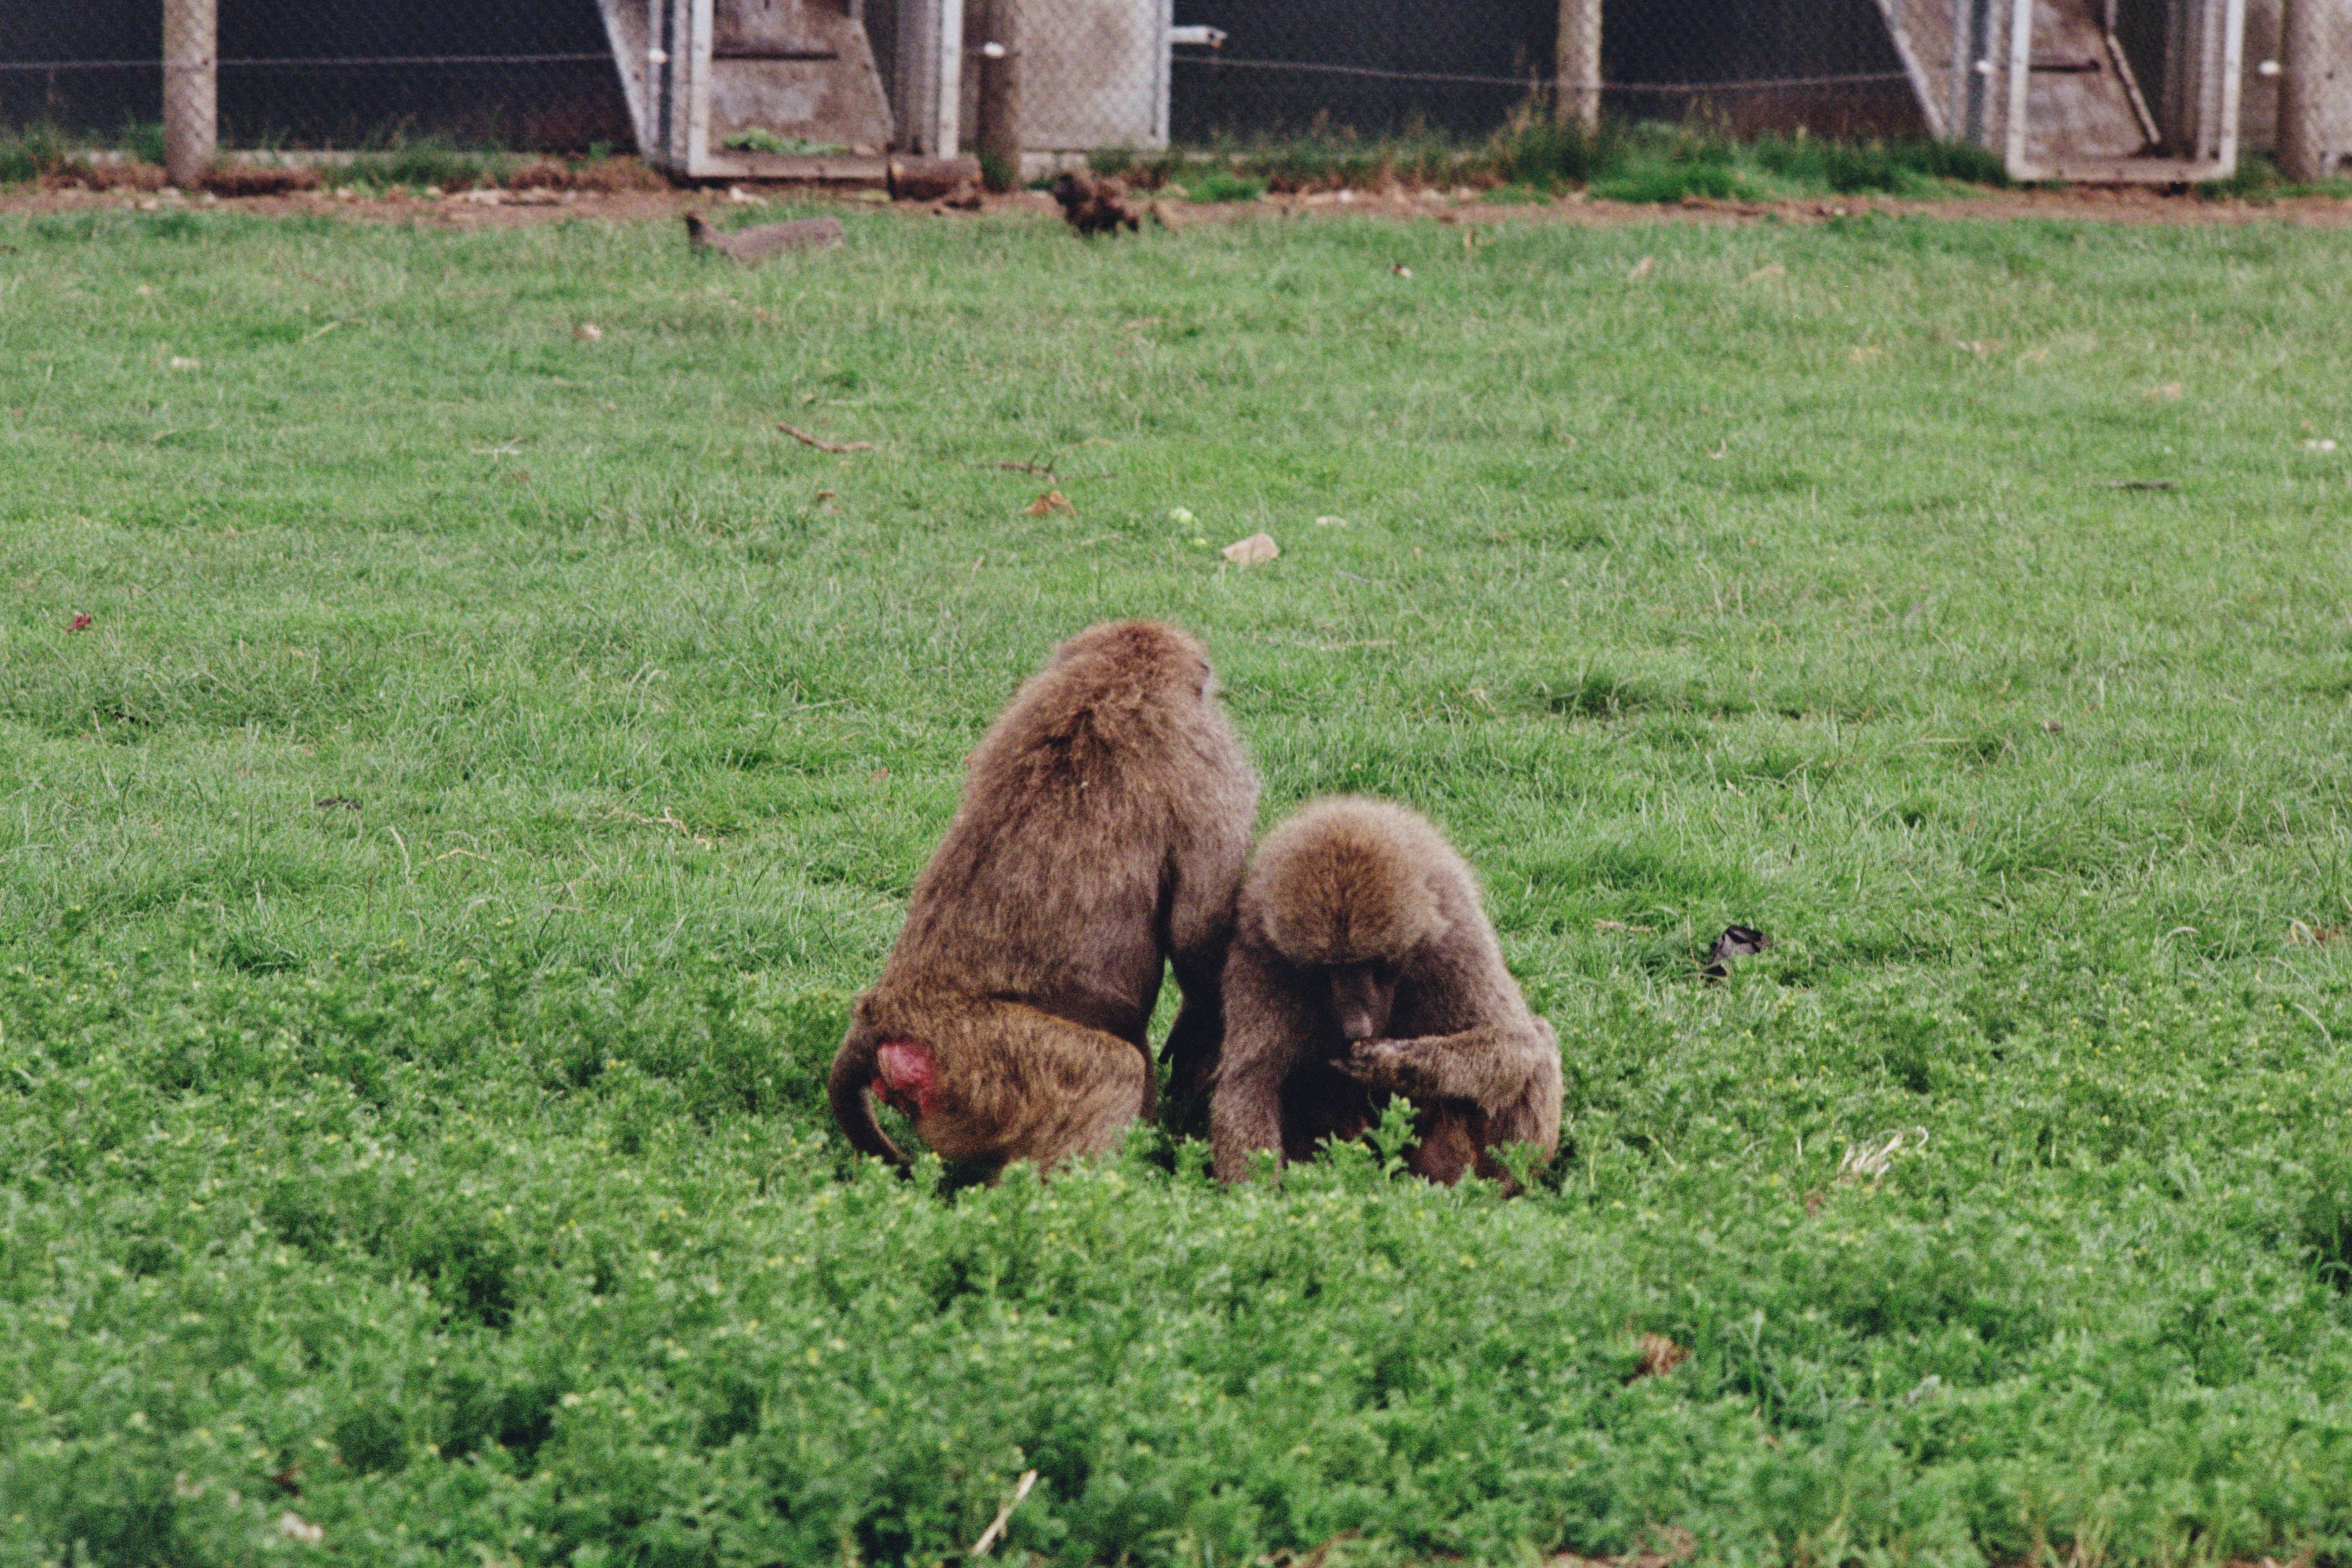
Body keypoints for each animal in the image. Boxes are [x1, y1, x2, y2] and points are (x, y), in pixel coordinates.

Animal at [829, 621, 1259, 1176]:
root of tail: (887, 1018)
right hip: (992, 1066)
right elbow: (1199, 940)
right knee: (1115, 1072)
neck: (1110, 682)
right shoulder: (1211, 768)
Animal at [1209, 797, 1562, 1188]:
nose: (1357, 1029)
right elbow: (1252, 1081)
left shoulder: (1453, 937)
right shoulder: (1259, 949)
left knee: (1539, 1042)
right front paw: (1258, 1197)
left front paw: (1392, 1063)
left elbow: (1515, 1043)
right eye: (1326, 971)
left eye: (1374, 964)